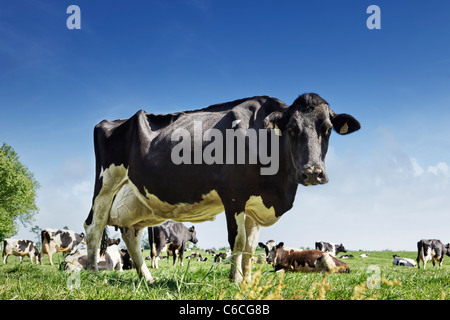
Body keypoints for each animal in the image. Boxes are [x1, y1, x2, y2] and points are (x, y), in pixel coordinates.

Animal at [83, 92, 358, 282]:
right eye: (291, 129)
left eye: (327, 129)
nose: (312, 172)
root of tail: (111, 121)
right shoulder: (233, 195)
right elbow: (237, 241)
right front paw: (235, 280)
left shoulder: (256, 204)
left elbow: (250, 247)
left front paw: (247, 281)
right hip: (105, 184)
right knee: (93, 227)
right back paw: (93, 272)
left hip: (138, 203)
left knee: (131, 235)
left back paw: (147, 278)